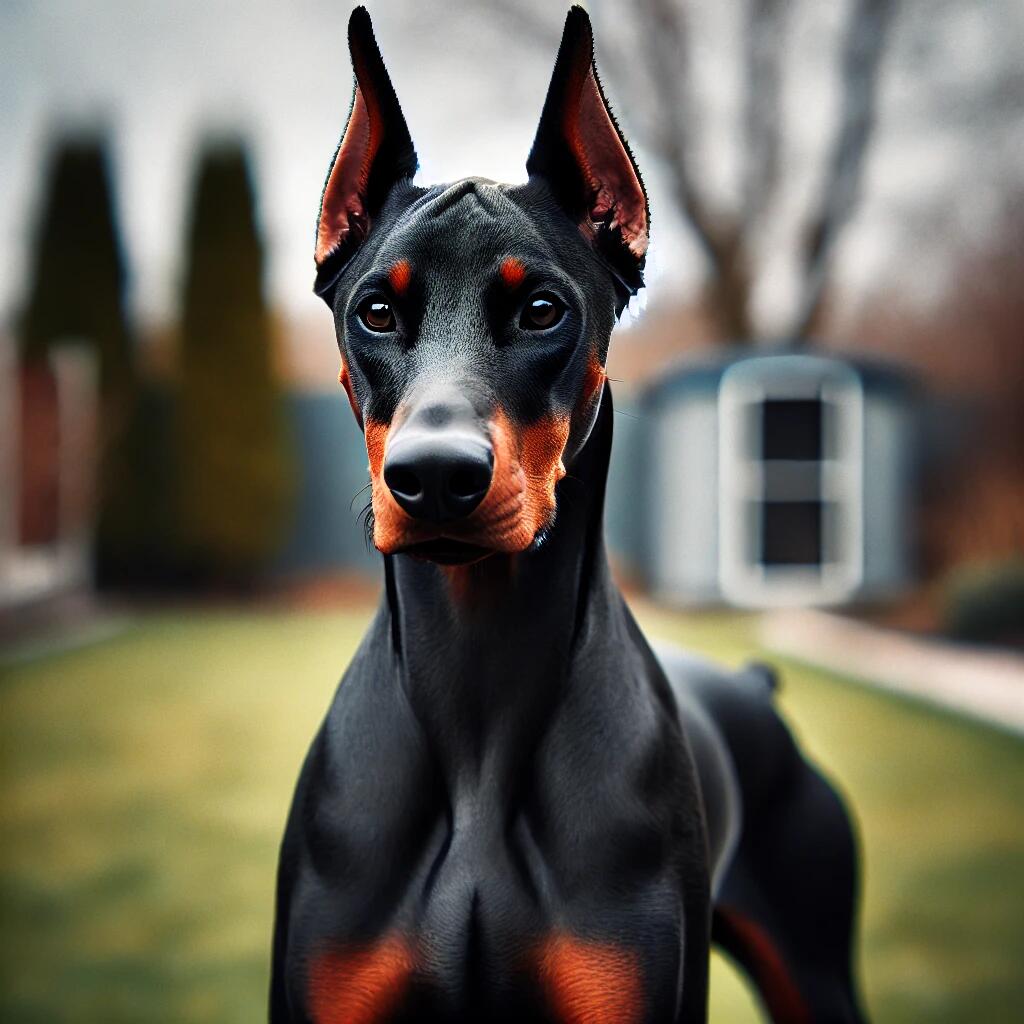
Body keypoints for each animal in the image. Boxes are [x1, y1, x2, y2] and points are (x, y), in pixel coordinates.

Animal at [270, 8, 864, 1024]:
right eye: (376, 309)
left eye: (543, 309)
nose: (435, 476)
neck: (479, 692)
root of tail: (753, 686)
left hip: (819, 966)